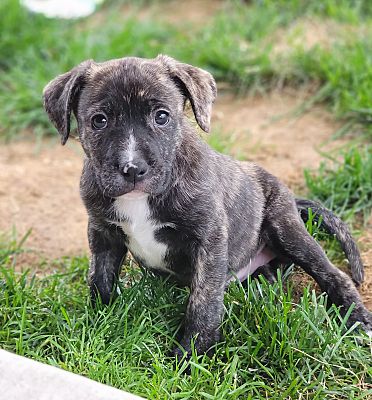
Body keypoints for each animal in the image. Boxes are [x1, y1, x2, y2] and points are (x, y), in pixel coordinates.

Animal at [42, 54, 370, 356]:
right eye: (99, 120)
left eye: (162, 116)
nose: (133, 168)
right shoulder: (103, 233)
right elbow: (100, 280)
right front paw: (97, 324)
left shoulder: (208, 238)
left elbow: (204, 301)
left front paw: (190, 356)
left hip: (287, 228)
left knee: (332, 273)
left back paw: (358, 318)